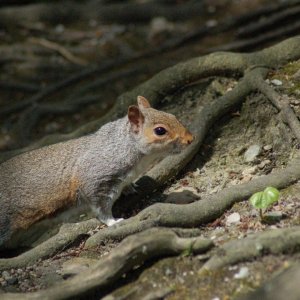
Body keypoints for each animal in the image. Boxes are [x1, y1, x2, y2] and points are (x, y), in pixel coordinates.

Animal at [0, 96, 192, 246]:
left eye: (173, 116)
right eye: (160, 130)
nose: (190, 139)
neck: (125, 146)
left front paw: (130, 188)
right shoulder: (96, 181)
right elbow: (100, 208)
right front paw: (113, 221)